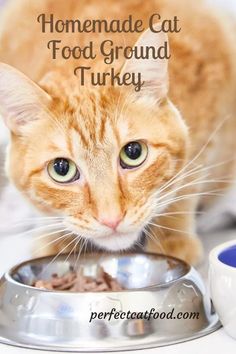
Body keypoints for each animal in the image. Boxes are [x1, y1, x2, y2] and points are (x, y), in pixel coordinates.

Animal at [0, 0, 235, 266]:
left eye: (133, 153)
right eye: (61, 169)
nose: (111, 219)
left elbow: (188, 180)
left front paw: (172, 237)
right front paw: (54, 237)